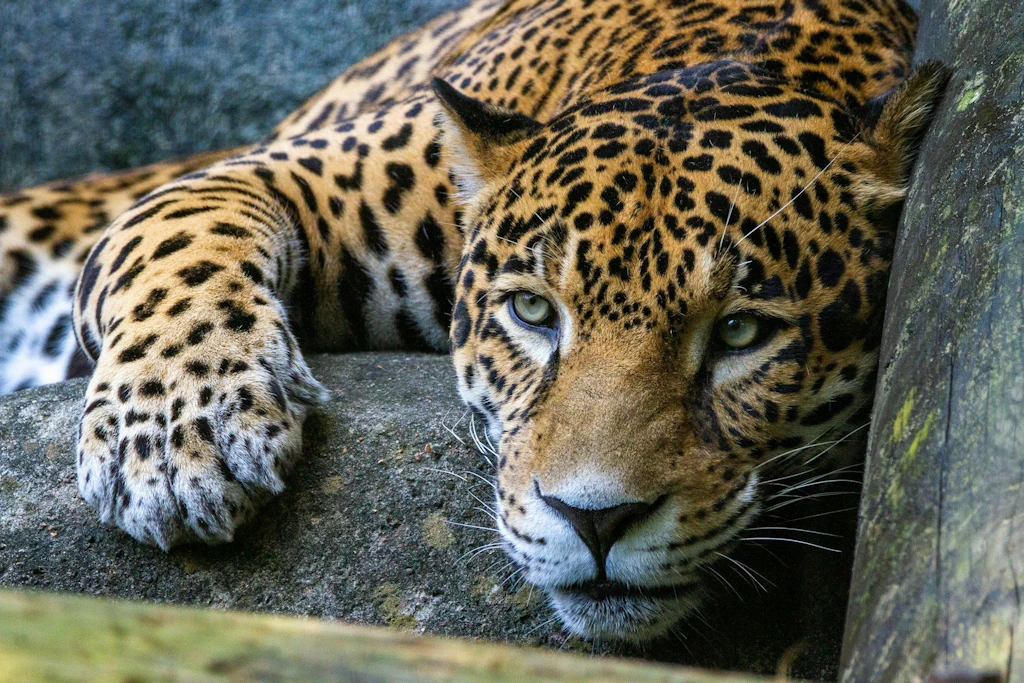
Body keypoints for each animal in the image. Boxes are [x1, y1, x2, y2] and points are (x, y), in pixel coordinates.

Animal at [0, 0, 948, 641]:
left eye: (741, 334)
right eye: (533, 311)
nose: (595, 521)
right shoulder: (290, 173)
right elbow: (183, 237)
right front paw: (172, 441)